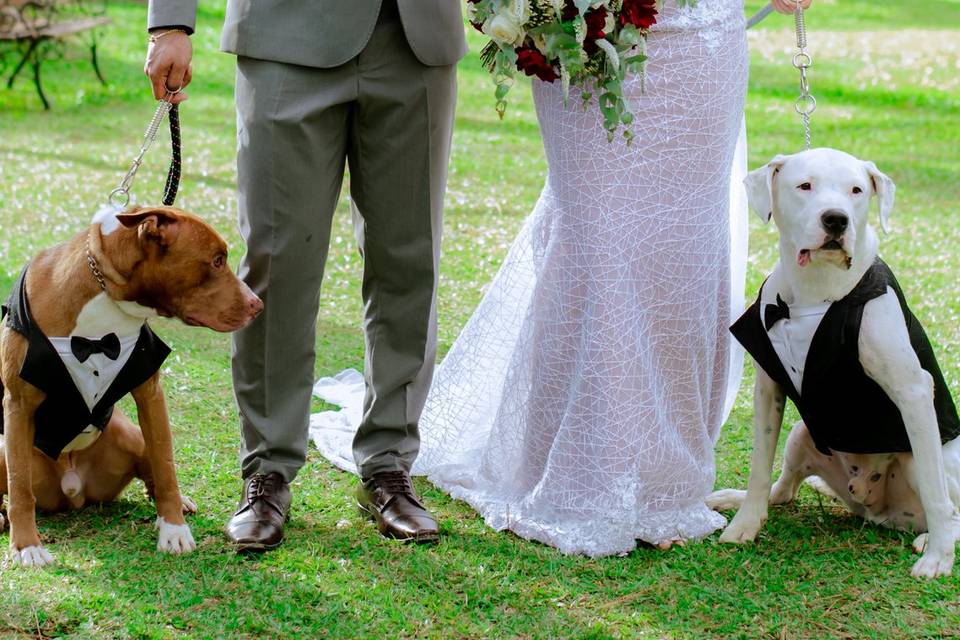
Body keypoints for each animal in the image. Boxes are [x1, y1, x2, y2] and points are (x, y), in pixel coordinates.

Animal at [0, 205, 262, 564]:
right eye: (217, 260)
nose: (258, 304)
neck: (107, 302)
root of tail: (73, 490)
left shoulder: (150, 394)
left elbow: (166, 467)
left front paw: (174, 530)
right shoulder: (18, 405)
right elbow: (20, 486)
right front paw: (27, 545)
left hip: (129, 435)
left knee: (153, 469)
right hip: (4, 447)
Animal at [704, 149, 960, 580]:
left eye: (856, 190)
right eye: (804, 185)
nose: (836, 219)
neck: (816, 289)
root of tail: (877, 509)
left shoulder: (912, 392)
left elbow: (934, 488)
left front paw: (939, 557)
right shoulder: (768, 389)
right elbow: (760, 466)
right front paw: (746, 523)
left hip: (921, 456)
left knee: (949, 503)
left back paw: (932, 540)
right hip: (801, 435)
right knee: (784, 490)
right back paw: (734, 500)